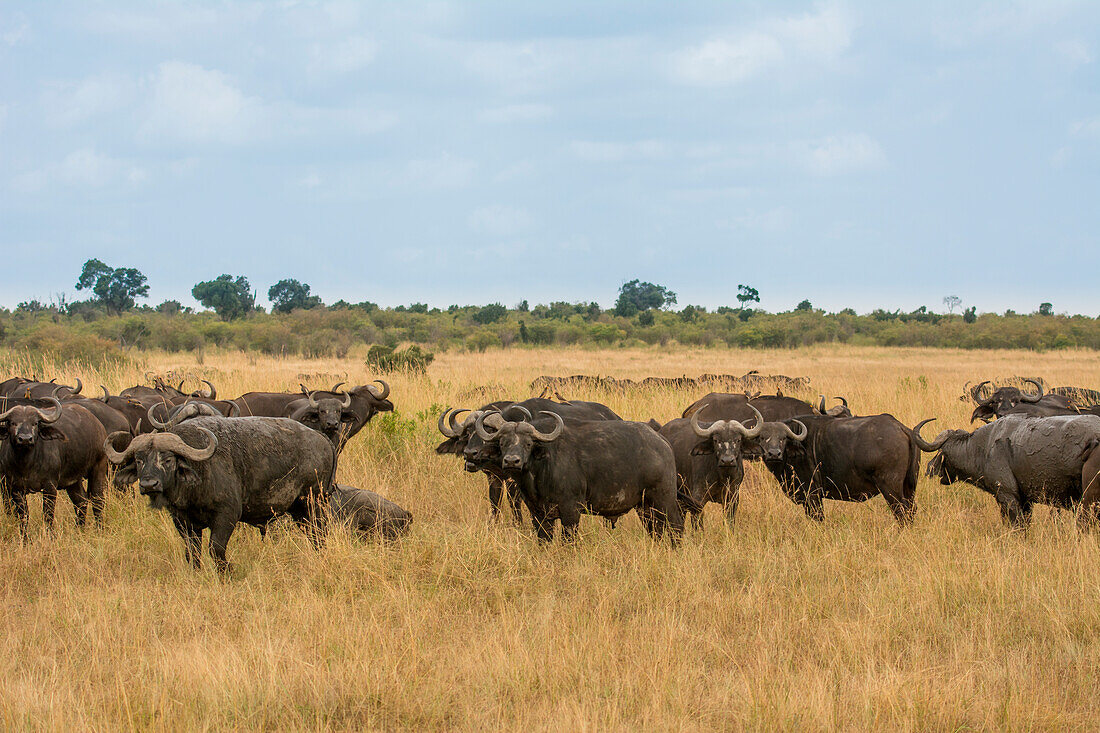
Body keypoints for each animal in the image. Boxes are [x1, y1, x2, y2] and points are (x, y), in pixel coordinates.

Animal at [0, 396, 108, 534]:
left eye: (35, 423)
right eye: (13, 423)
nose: (25, 439)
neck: (26, 464)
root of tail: (98, 424)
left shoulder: (50, 487)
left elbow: (48, 514)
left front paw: (50, 535)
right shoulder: (16, 489)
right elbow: (23, 516)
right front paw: (25, 538)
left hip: (99, 467)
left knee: (97, 499)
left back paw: (99, 529)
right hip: (73, 479)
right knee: (81, 501)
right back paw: (79, 529)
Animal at [110, 413, 338, 567]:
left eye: (167, 459)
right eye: (139, 460)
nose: (149, 484)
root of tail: (321, 438)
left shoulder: (226, 515)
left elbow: (215, 549)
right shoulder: (182, 522)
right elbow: (192, 553)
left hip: (314, 503)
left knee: (320, 533)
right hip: (299, 510)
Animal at [477, 411, 682, 541]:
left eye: (528, 443)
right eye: (503, 443)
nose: (512, 461)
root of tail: (662, 442)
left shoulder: (571, 511)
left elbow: (568, 540)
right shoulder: (538, 514)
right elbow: (543, 540)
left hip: (664, 500)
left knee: (676, 526)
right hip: (644, 507)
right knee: (656, 530)